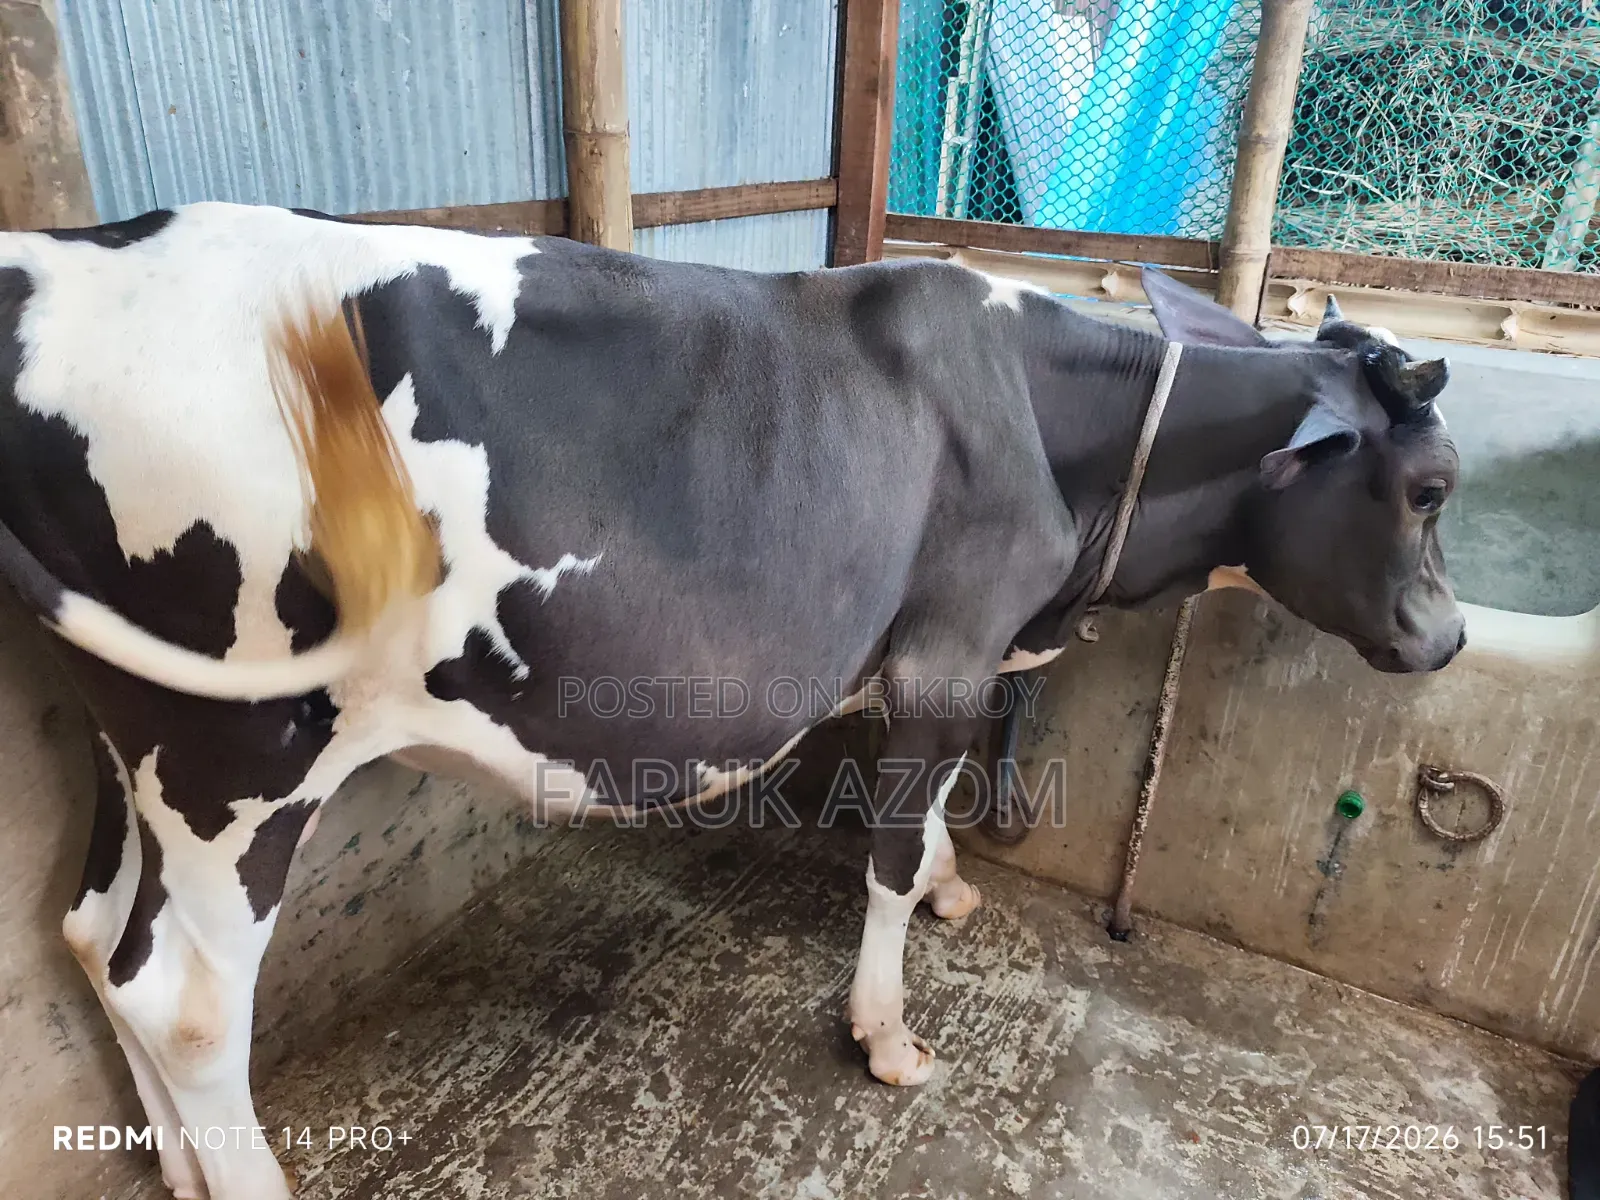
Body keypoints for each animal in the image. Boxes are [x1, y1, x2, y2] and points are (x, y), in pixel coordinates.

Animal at [0, 202, 1463, 1200]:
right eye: (1429, 487)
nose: (1448, 640)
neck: (1059, 439)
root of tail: (64, 251)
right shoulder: (947, 650)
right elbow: (883, 852)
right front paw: (887, 1031)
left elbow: (924, 822)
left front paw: (951, 885)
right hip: (235, 746)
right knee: (184, 1002)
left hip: (130, 729)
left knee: (93, 937)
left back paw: (174, 1166)